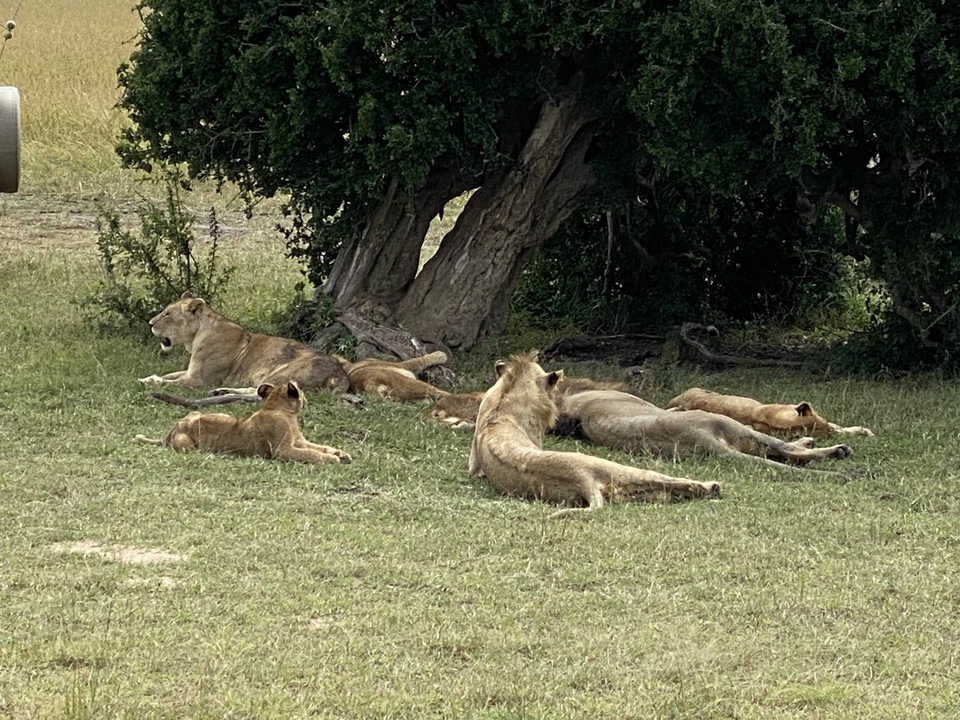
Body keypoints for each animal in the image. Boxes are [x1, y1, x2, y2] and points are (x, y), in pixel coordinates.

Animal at [135, 381, 351, 464]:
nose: (306, 398)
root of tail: (170, 432)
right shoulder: (282, 450)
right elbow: (311, 454)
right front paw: (332, 459)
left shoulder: (300, 442)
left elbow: (320, 446)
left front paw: (341, 453)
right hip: (186, 443)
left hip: (218, 414)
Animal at [138, 292, 349, 394]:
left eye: (167, 314)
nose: (149, 323)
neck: (197, 335)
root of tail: (340, 374)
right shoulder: (191, 372)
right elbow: (169, 375)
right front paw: (148, 377)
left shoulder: (200, 380)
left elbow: (167, 381)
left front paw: (148, 381)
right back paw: (221, 392)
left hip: (282, 374)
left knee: (260, 392)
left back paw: (222, 391)